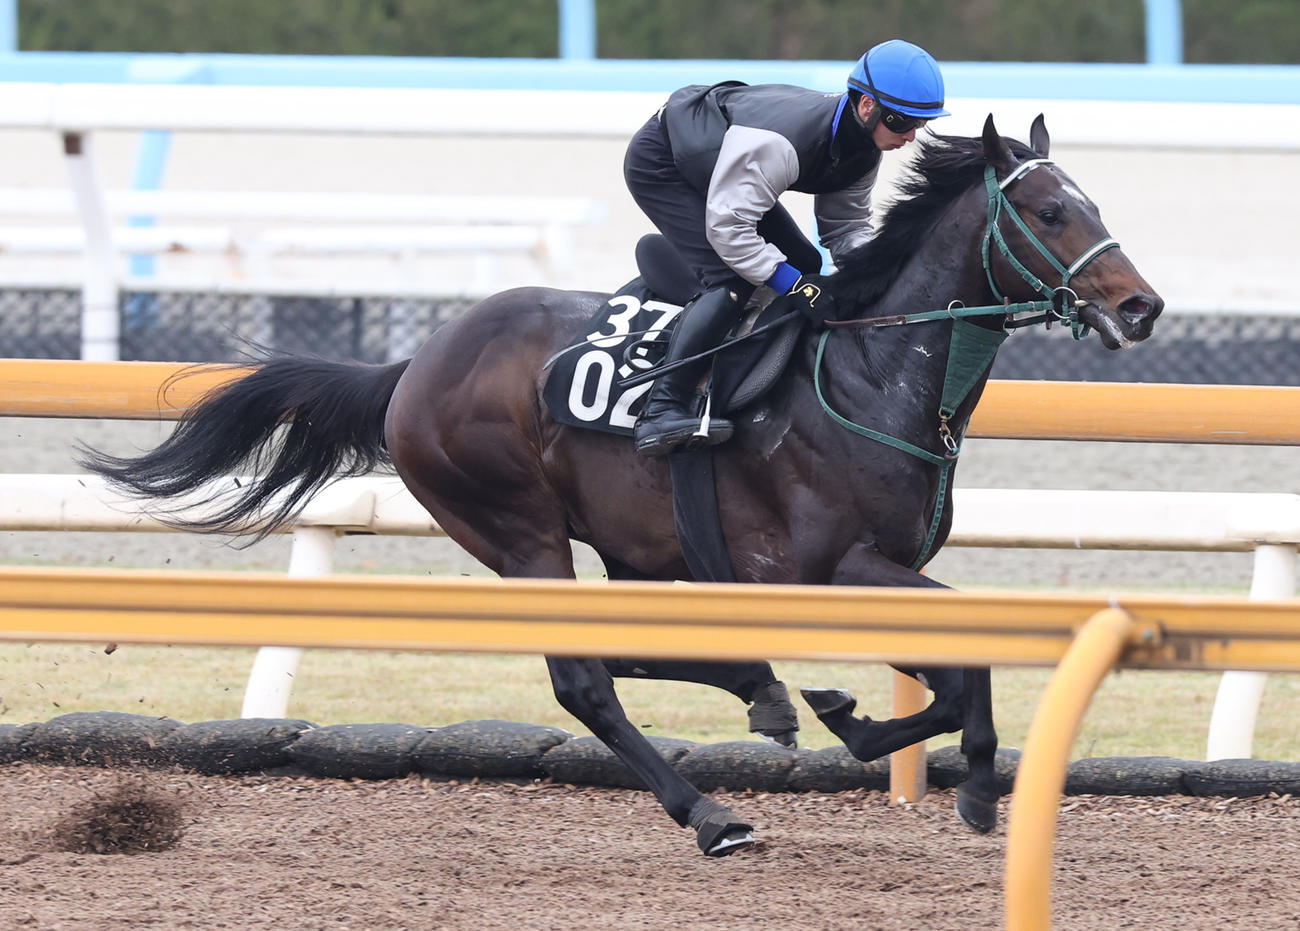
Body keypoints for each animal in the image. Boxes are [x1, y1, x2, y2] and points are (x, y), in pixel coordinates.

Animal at [81, 115, 1162, 856]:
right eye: (1050, 210)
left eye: (1098, 205)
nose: (1142, 307)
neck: (869, 372)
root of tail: (415, 365)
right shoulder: (818, 569)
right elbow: (956, 670)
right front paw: (919, 757)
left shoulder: (867, 569)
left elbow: (954, 671)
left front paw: (904, 745)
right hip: (519, 531)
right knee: (584, 678)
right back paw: (711, 810)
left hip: (629, 544)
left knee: (630, 645)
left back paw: (763, 695)